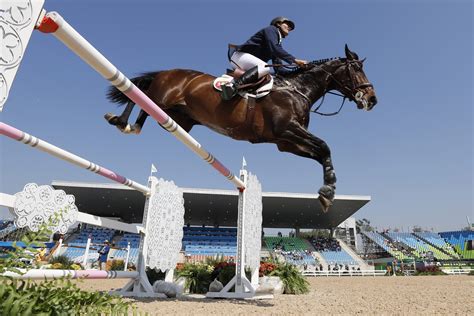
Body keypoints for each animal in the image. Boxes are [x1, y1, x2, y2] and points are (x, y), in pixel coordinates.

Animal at [104, 44, 378, 211]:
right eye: (356, 69)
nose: (372, 100)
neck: (296, 90)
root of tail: (168, 71)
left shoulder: (286, 143)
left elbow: (321, 153)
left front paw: (327, 191)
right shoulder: (286, 129)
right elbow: (324, 145)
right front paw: (328, 190)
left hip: (177, 118)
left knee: (147, 110)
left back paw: (132, 127)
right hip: (161, 96)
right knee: (136, 93)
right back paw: (120, 122)